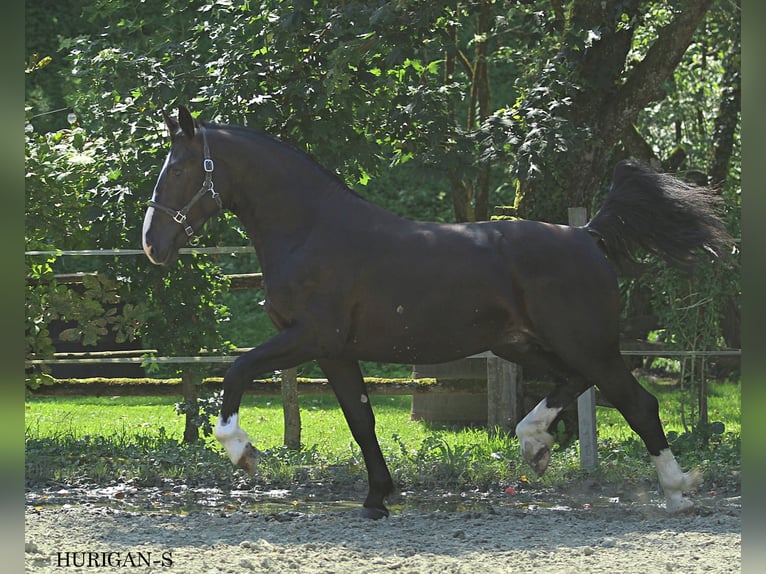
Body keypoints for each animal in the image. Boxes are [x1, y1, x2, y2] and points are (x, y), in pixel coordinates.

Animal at [142, 106, 732, 520]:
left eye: (180, 168)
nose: (152, 244)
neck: (311, 230)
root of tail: (586, 234)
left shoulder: (309, 338)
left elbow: (237, 369)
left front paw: (242, 452)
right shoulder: (336, 352)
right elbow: (360, 419)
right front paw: (377, 498)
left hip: (586, 343)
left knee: (639, 404)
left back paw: (678, 492)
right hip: (525, 344)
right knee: (575, 382)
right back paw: (534, 443)